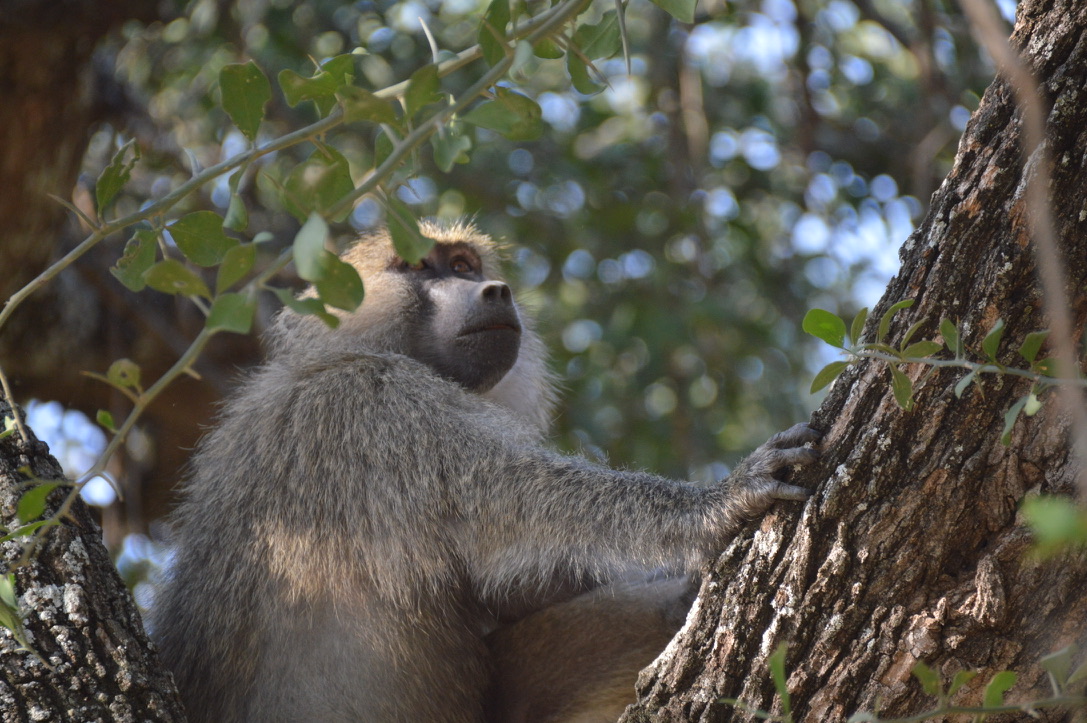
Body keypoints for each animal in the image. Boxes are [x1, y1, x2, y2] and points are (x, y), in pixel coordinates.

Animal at [150, 219, 820, 723]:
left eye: (464, 265)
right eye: (422, 267)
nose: (495, 290)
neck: (352, 350)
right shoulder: (379, 405)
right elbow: (527, 502)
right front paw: (720, 502)